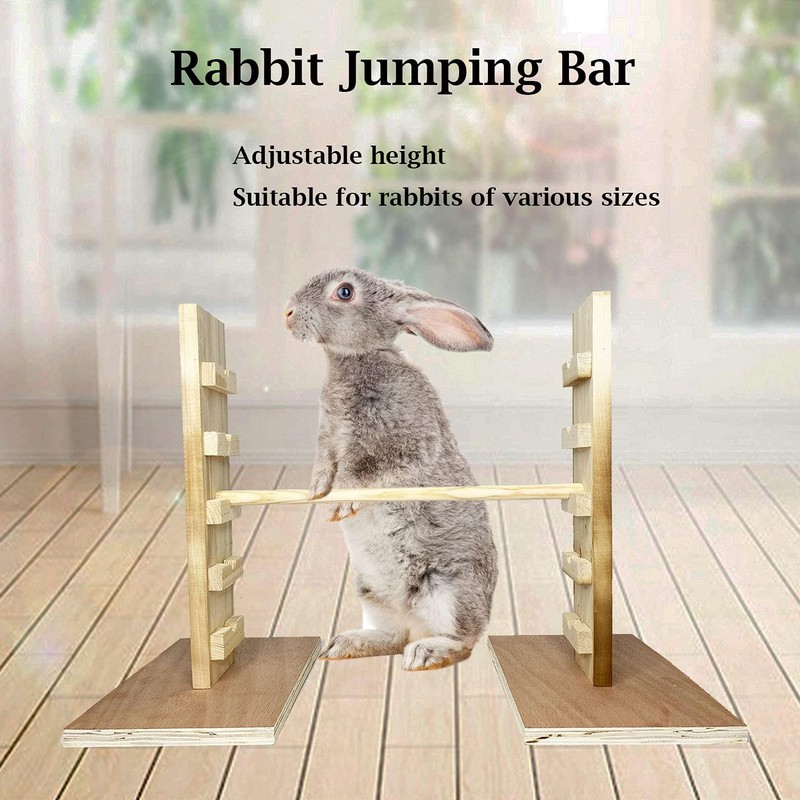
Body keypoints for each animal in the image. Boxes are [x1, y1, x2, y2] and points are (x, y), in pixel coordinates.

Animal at [284, 269, 498, 671]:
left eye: (345, 292)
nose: (287, 312)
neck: (359, 358)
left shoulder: (393, 442)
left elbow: (359, 469)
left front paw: (341, 502)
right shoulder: (328, 437)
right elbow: (324, 464)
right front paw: (316, 491)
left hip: (448, 589)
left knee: (462, 640)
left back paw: (426, 653)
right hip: (371, 593)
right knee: (392, 635)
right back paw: (346, 645)